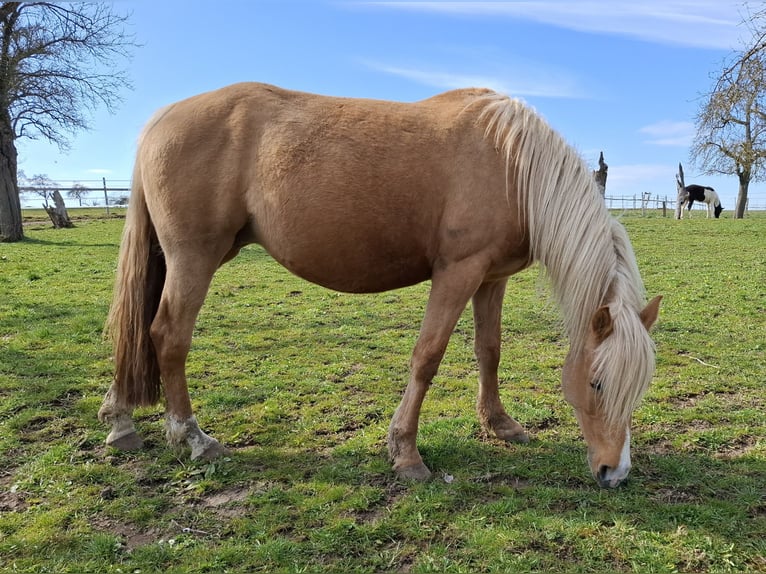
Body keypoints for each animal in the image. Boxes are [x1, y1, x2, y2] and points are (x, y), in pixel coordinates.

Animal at [99, 82, 661, 488]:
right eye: (597, 383)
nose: (615, 473)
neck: (512, 166)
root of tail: (162, 119)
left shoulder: (490, 278)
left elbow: (489, 351)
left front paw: (500, 425)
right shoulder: (457, 272)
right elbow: (427, 357)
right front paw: (406, 453)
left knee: (140, 332)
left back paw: (121, 419)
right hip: (195, 257)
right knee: (168, 335)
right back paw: (192, 438)